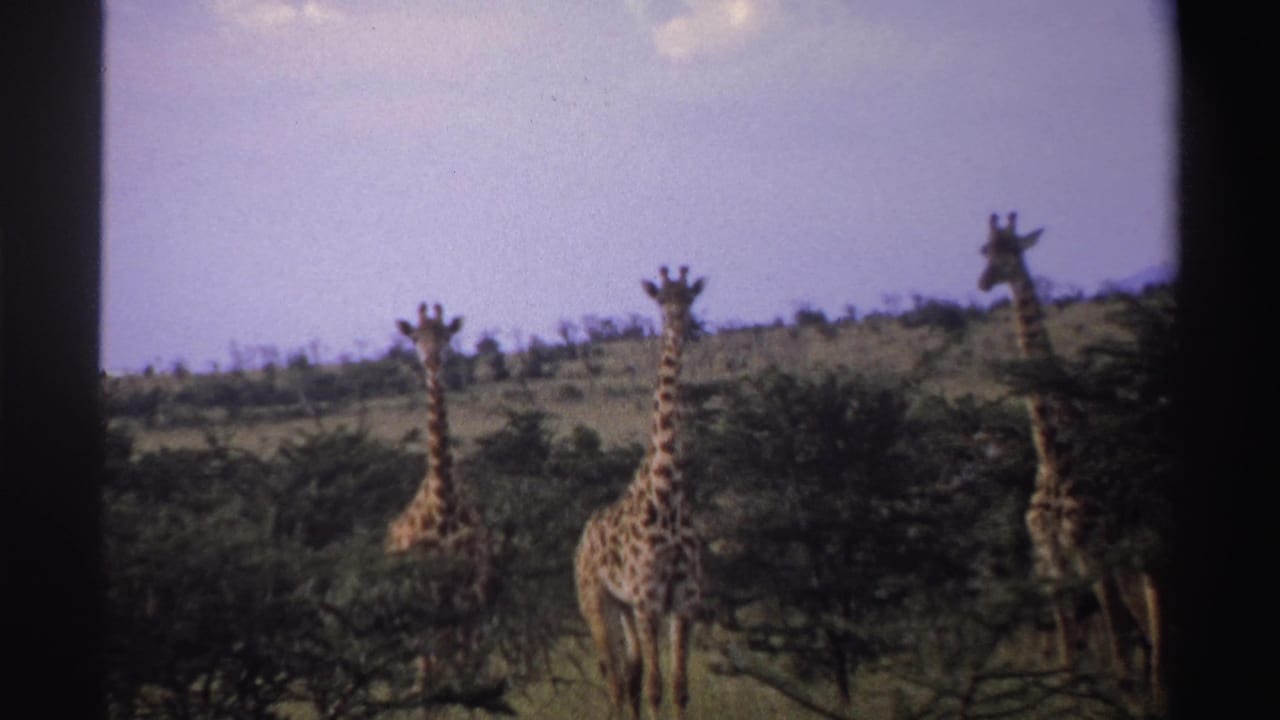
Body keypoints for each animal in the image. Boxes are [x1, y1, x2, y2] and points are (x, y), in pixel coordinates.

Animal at [387, 302, 494, 690]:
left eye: (446, 335)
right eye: (415, 338)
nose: (433, 363)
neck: (444, 506)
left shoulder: (471, 592)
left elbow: (467, 663)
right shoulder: (430, 591)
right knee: (424, 659)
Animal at [574, 266, 706, 720]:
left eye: (689, 299)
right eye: (661, 300)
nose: (680, 324)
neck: (666, 492)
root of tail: (581, 541)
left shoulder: (685, 599)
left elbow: (679, 688)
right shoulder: (648, 599)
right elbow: (655, 687)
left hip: (625, 608)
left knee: (627, 678)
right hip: (597, 603)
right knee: (616, 680)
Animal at [978, 212, 1164, 706]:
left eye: (1011, 249)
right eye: (984, 250)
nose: (984, 282)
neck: (1054, 451)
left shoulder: (1088, 549)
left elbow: (1113, 632)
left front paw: (1122, 695)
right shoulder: (1054, 555)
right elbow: (1068, 640)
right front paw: (1070, 693)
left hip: (1140, 548)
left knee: (1147, 614)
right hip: (1130, 555)